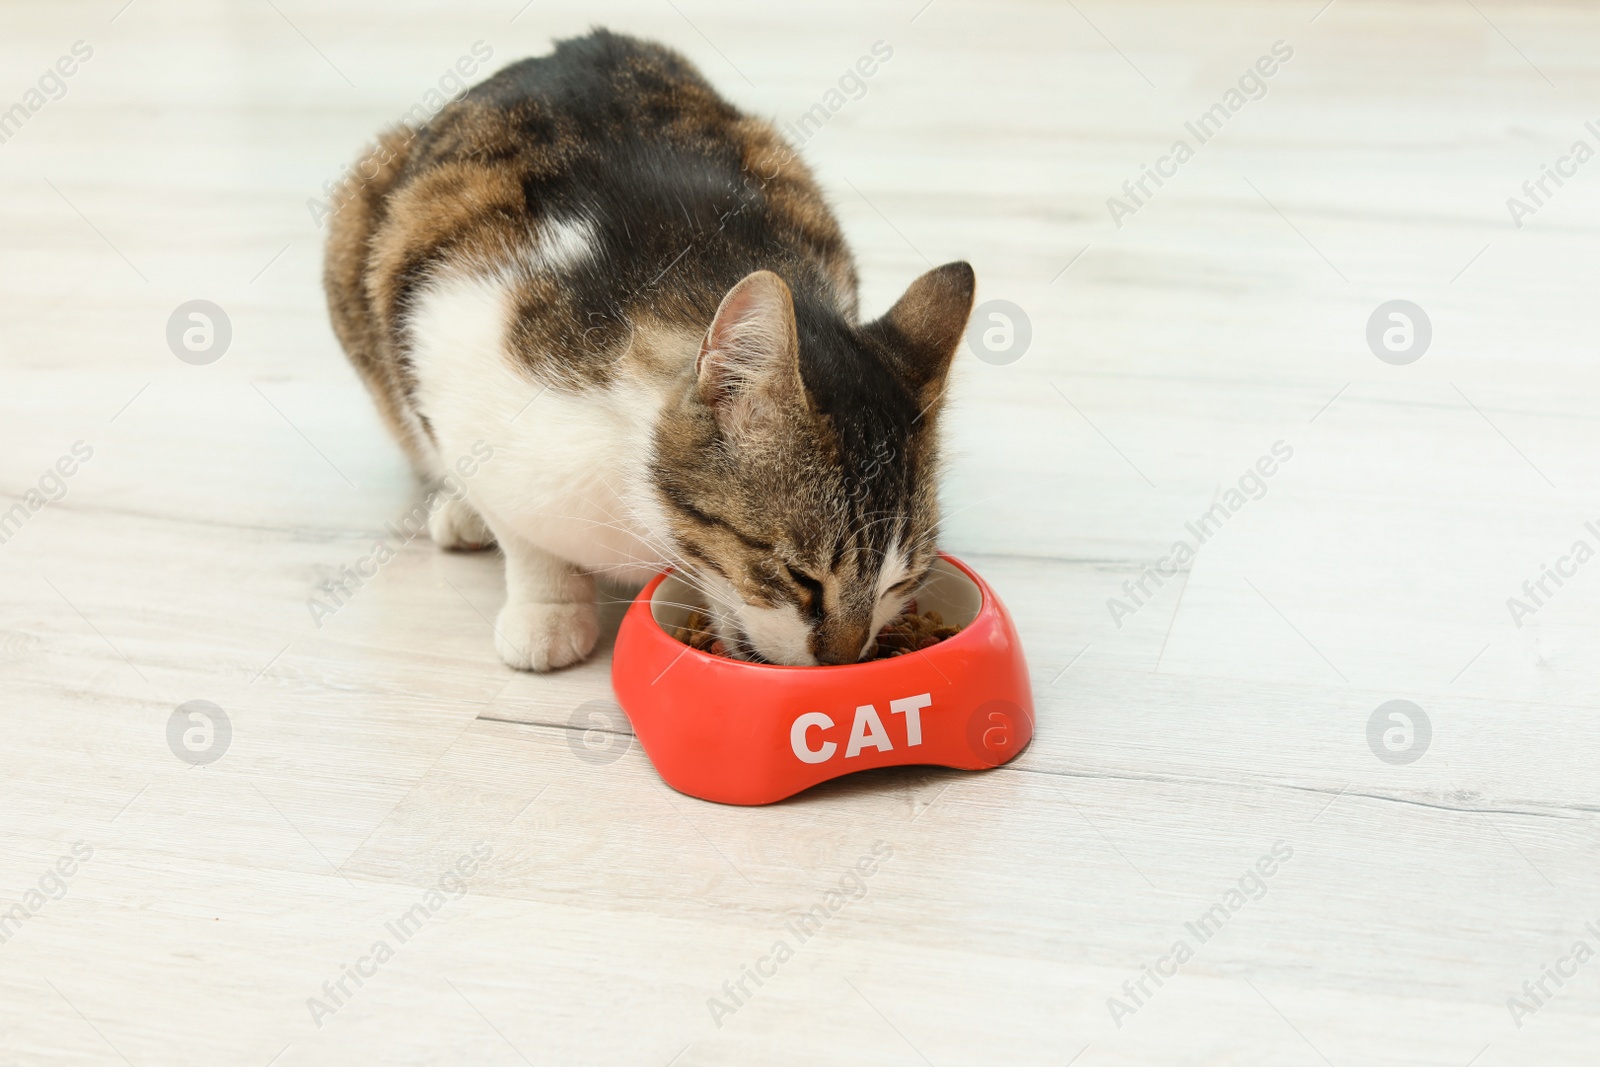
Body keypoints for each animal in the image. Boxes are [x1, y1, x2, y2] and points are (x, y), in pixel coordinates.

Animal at [321, 29, 972, 671]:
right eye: (799, 577)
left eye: (901, 582)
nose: (844, 662)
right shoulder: (450, 353)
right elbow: (523, 534)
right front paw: (547, 610)